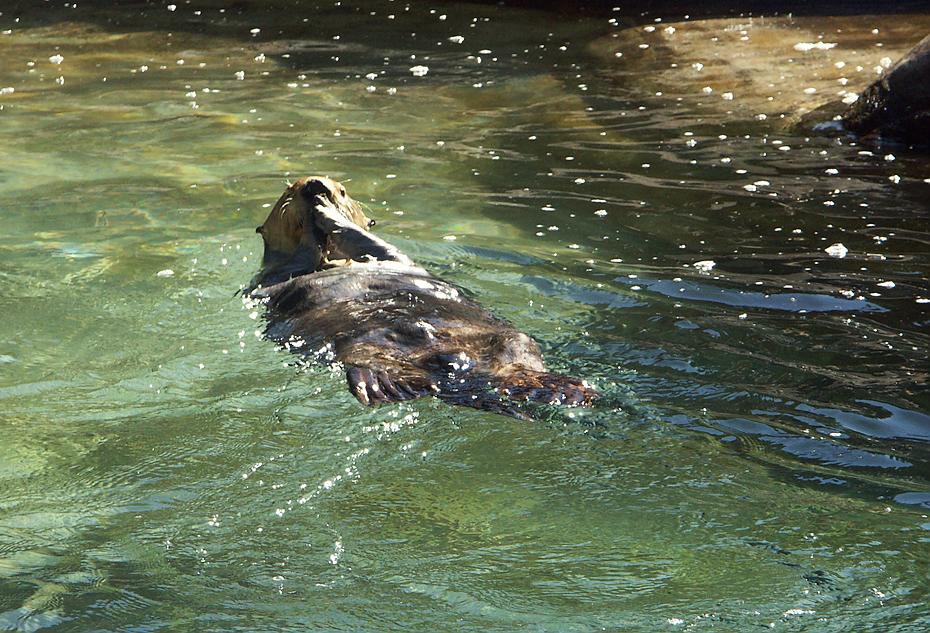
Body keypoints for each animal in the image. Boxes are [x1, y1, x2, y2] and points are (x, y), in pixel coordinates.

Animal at [246, 176, 596, 417]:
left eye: (343, 190)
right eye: (289, 190)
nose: (316, 186)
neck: (329, 261)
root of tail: (462, 374)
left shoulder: (392, 258)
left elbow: (374, 243)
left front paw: (329, 215)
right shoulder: (269, 279)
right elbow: (292, 262)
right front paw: (315, 223)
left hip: (512, 340)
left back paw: (565, 390)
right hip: (372, 357)